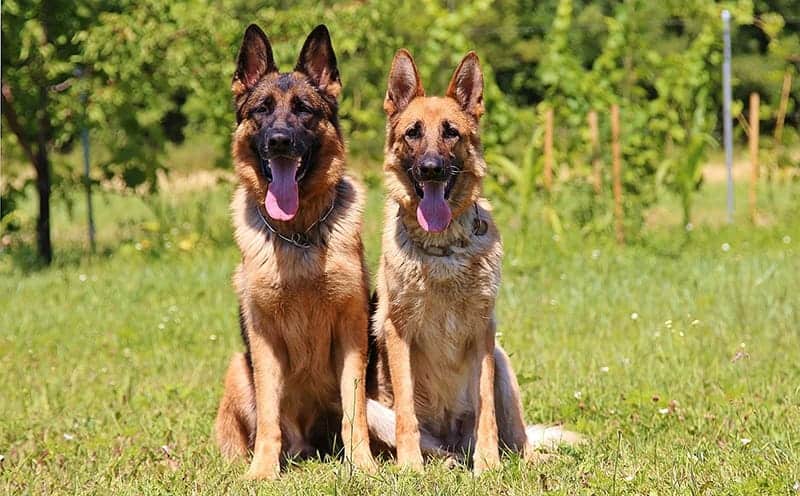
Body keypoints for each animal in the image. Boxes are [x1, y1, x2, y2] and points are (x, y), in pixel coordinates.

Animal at [212, 25, 376, 478]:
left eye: (303, 110)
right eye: (262, 110)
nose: (280, 141)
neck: (298, 233)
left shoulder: (352, 333)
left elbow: (355, 411)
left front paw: (364, 466)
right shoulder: (263, 341)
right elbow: (269, 416)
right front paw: (262, 472)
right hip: (237, 367)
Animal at [366, 50, 580, 472]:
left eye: (451, 132)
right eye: (413, 133)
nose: (431, 169)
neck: (442, 247)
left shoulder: (483, 333)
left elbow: (487, 411)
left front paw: (489, 466)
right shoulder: (398, 334)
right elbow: (406, 413)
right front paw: (410, 466)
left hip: (502, 362)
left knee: (518, 438)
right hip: (370, 409)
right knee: (429, 441)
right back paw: (441, 460)